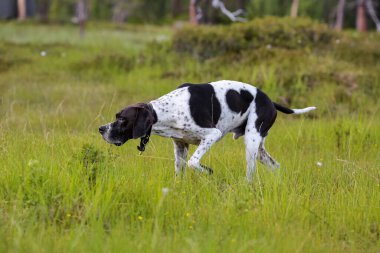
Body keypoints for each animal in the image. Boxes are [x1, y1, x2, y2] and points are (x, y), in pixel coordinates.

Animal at [98, 80, 314, 181]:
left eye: (122, 119)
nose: (101, 129)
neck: (168, 110)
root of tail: (270, 101)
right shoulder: (180, 146)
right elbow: (180, 172)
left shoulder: (212, 135)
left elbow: (194, 162)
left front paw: (208, 171)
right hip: (259, 149)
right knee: (275, 166)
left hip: (251, 144)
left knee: (250, 173)